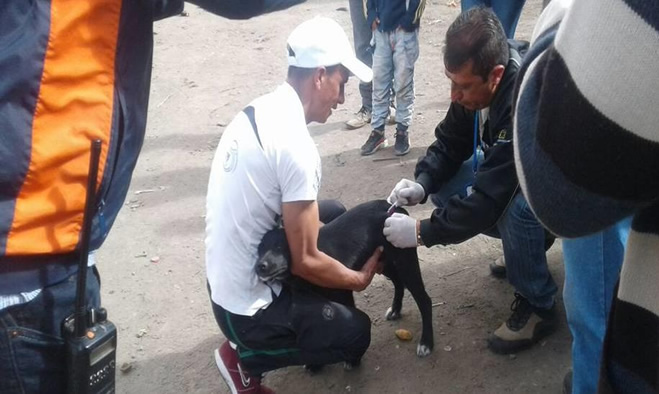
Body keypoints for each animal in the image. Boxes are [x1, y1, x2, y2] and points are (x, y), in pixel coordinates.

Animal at [256, 200, 434, 358]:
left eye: (280, 247)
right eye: (259, 249)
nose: (259, 266)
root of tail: (393, 208)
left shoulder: (344, 292)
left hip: (405, 262)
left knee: (424, 300)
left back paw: (426, 342)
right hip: (385, 263)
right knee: (398, 283)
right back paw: (396, 309)